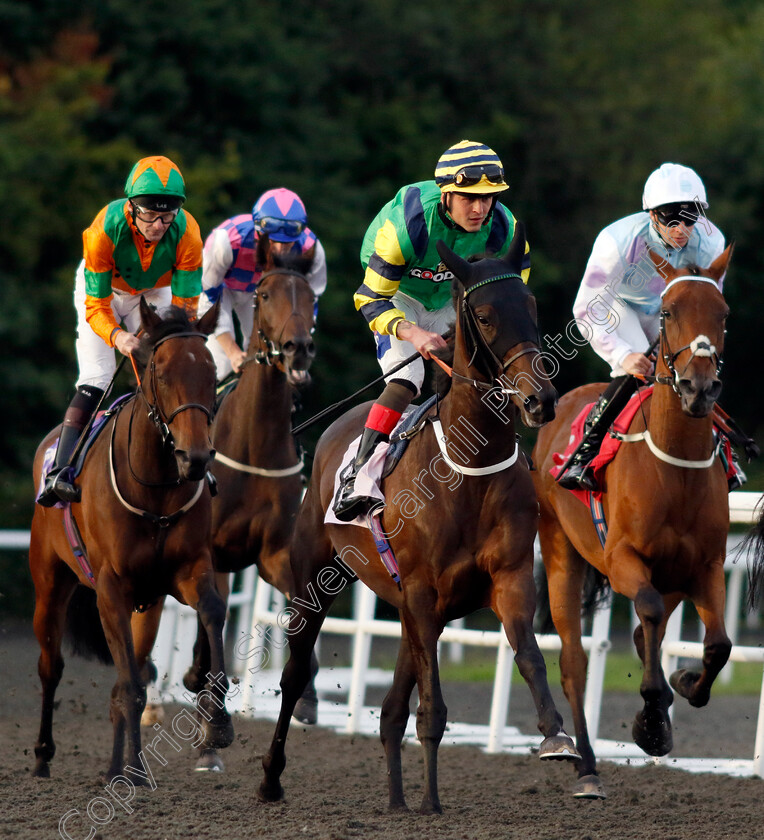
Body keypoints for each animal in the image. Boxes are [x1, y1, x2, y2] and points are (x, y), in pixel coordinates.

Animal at [29, 300, 233, 780]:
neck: (155, 489)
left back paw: (116, 765)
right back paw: (45, 755)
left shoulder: (186, 570)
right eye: (161, 371)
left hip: (149, 605)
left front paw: (216, 725)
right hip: (50, 585)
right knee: (52, 667)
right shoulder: (110, 588)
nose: (195, 457)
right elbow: (131, 687)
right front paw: (133, 770)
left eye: (211, 371)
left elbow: (212, 611)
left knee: (129, 674)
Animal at [256, 226, 580, 816]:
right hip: (317, 578)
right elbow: (433, 705)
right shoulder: (424, 592)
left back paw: (396, 799)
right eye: (485, 315)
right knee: (293, 678)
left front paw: (555, 737)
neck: (469, 467)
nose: (540, 400)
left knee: (390, 708)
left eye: (530, 305)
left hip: (406, 601)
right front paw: (431, 800)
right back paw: (272, 778)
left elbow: (528, 655)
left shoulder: (505, 580)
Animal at [532, 246, 748, 796]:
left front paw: (686, 685)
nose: (698, 387)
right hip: (561, 551)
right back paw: (586, 767)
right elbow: (646, 614)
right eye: (668, 312)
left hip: (671, 574)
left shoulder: (705, 566)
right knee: (573, 661)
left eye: (724, 315)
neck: (674, 466)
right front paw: (651, 719)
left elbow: (718, 644)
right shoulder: (623, 558)